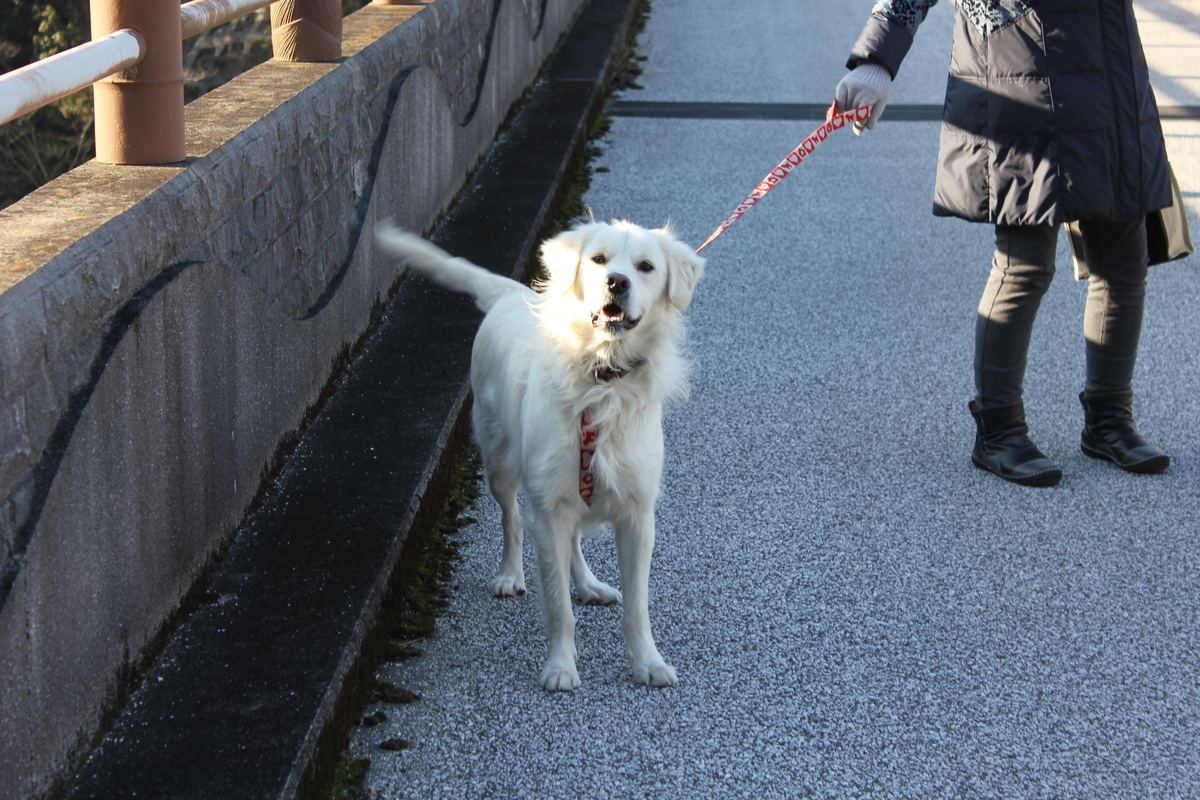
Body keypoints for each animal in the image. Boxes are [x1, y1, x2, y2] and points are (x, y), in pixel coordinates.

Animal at [375, 219, 704, 690]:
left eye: (645, 267)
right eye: (599, 259)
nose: (617, 283)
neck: (601, 378)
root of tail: (512, 294)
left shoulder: (637, 514)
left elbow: (637, 606)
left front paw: (648, 662)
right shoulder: (548, 509)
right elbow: (557, 605)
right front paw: (561, 667)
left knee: (573, 542)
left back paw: (589, 585)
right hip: (500, 463)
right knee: (512, 519)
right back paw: (511, 574)